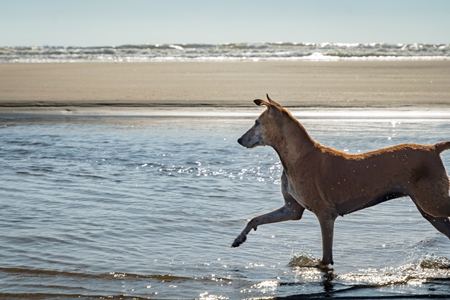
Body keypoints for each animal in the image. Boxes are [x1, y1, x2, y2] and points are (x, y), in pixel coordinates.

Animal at [232, 95, 450, 266]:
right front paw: (239, 238)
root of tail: (433, 148)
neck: (297, 155)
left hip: (432, 202)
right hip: (430, 211)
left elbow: (325, 259)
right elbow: (256, 218)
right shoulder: (292, 209)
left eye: (256, 122)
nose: (239, 140)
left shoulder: (325, 215)